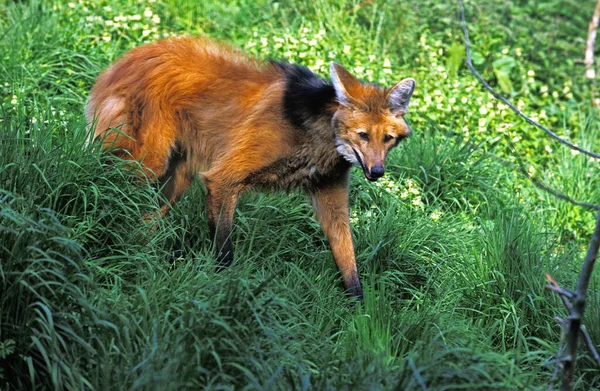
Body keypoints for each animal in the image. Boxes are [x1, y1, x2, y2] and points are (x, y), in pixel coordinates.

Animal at [86, 37, 414, 300]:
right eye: (363, 135)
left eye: (388, 139)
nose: (377, 172)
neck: (317, 135)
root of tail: (120, 62)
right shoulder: (222, 179)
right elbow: (224, 250)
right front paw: (221, 289)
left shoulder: (328, 189)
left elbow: (347, 259)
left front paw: (358, 314)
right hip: (145, 163)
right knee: (106, 185)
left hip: (176, 176)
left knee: (146, 217)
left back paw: (139, 253)